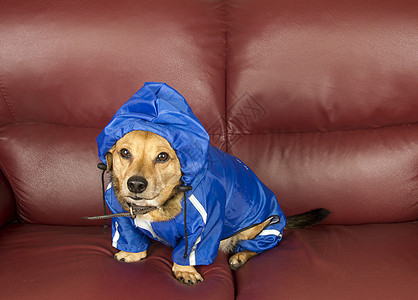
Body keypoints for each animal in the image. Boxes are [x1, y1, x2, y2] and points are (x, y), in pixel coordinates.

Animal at [95, 81, 330, 284]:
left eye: (162, 157)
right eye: (125, 153)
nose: (135, 184)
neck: (153, 207)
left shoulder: (203, 228)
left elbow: (187, 252)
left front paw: (185, 271)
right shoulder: (122, 219)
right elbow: (132, 238)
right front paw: (132, 254)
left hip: (262, 227)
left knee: (258, 246)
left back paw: (240, 256)